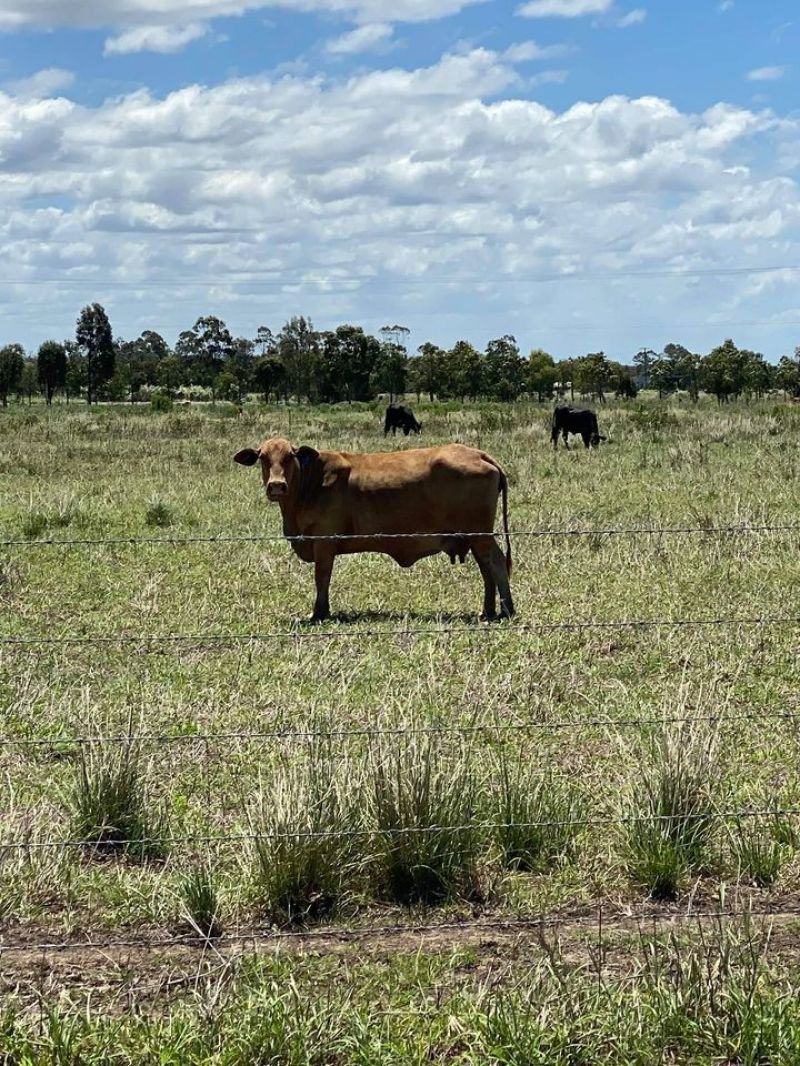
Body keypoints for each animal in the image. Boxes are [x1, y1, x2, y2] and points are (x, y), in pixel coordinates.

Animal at [234, 434, 516, 622]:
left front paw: (319, 612)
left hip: (480, 534)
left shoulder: (324, 542)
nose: (276, 485)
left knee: (496, 562)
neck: (310, 484)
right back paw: (488, 610)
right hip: (473, 536)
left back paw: (507, 609)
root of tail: (478, 453)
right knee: (486, 568)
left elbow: (321, 577)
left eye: (290, 456)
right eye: (262, 457)